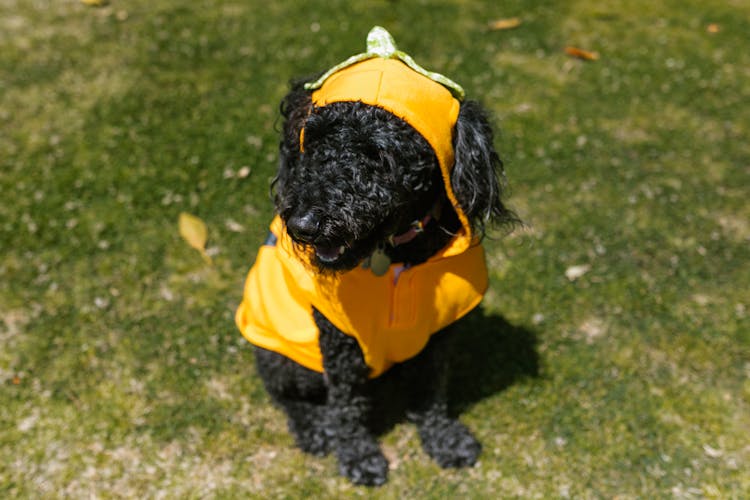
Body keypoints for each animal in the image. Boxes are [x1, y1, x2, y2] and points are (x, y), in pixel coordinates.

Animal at [238, 29, 520, 486]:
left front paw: (443, 439)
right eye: (314, 141)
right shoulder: (338, 341)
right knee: (284, 395)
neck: (392, 256)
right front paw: (357, 456)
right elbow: (347, 405)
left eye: (378, 154)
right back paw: (314, 428)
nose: (302, 223)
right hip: (284, 357)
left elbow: (431, 392)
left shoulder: (438, 336)